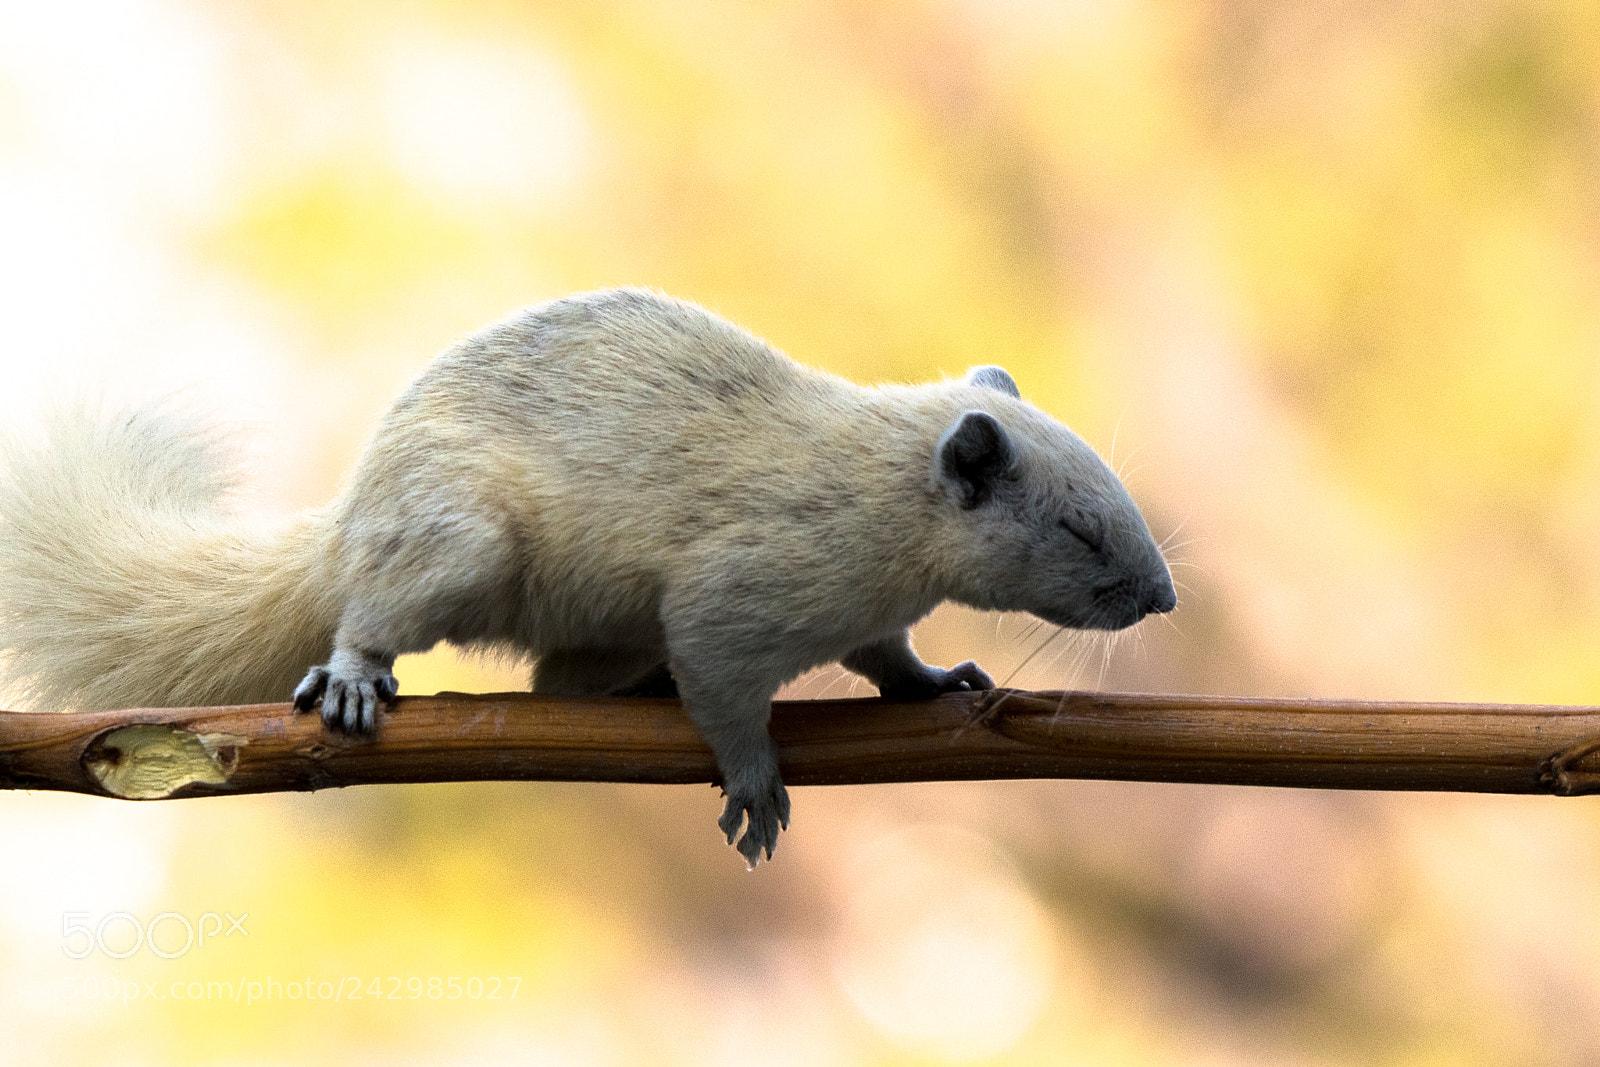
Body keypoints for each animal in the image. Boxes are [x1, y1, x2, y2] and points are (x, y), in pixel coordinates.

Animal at [0, 288, 1175, 865]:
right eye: (1077, 528)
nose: (1164, 599)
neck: (883, 497)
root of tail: (350, 517)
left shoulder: (864, 616)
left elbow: (886, 656)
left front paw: (935, 682)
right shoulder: (736, 590)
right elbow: (725, 685)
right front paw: (754, 783)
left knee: (554, 681)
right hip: (458, 544)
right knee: (375, 610)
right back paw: (355, 674)